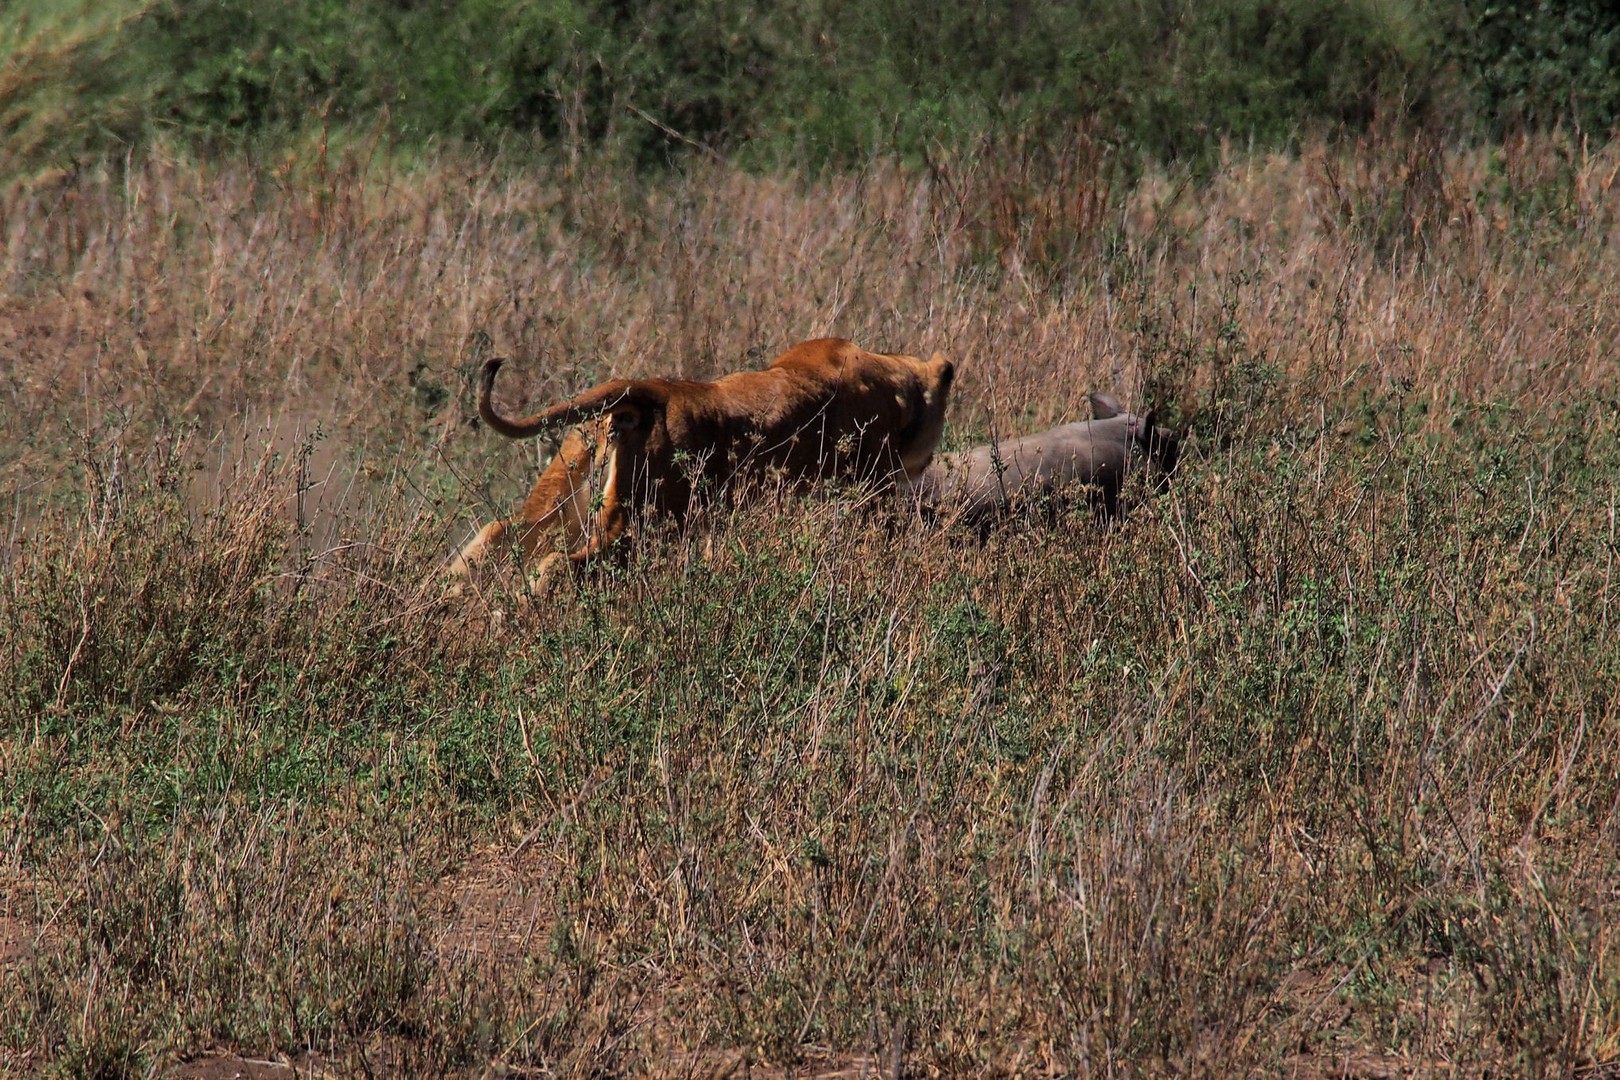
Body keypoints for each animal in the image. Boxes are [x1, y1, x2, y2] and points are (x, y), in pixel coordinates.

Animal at [450, 338, 952, 582]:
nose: (925, 462)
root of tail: (647, 388)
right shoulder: (870, 495)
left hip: (563, 500)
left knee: (497, 534)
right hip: (647, 522)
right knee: (558, 563)